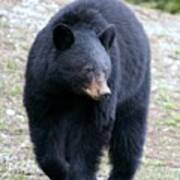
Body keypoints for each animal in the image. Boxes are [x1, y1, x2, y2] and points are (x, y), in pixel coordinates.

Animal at [23, 0, 150, 180]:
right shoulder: (42, 82)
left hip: (135, 88)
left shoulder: (110, 83)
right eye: (87, 69)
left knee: (129, 134)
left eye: (105, 69)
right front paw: (61, 169)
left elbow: (93, 128)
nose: (105, 93)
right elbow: (44, 124)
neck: (69, 89)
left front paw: (78, 173)